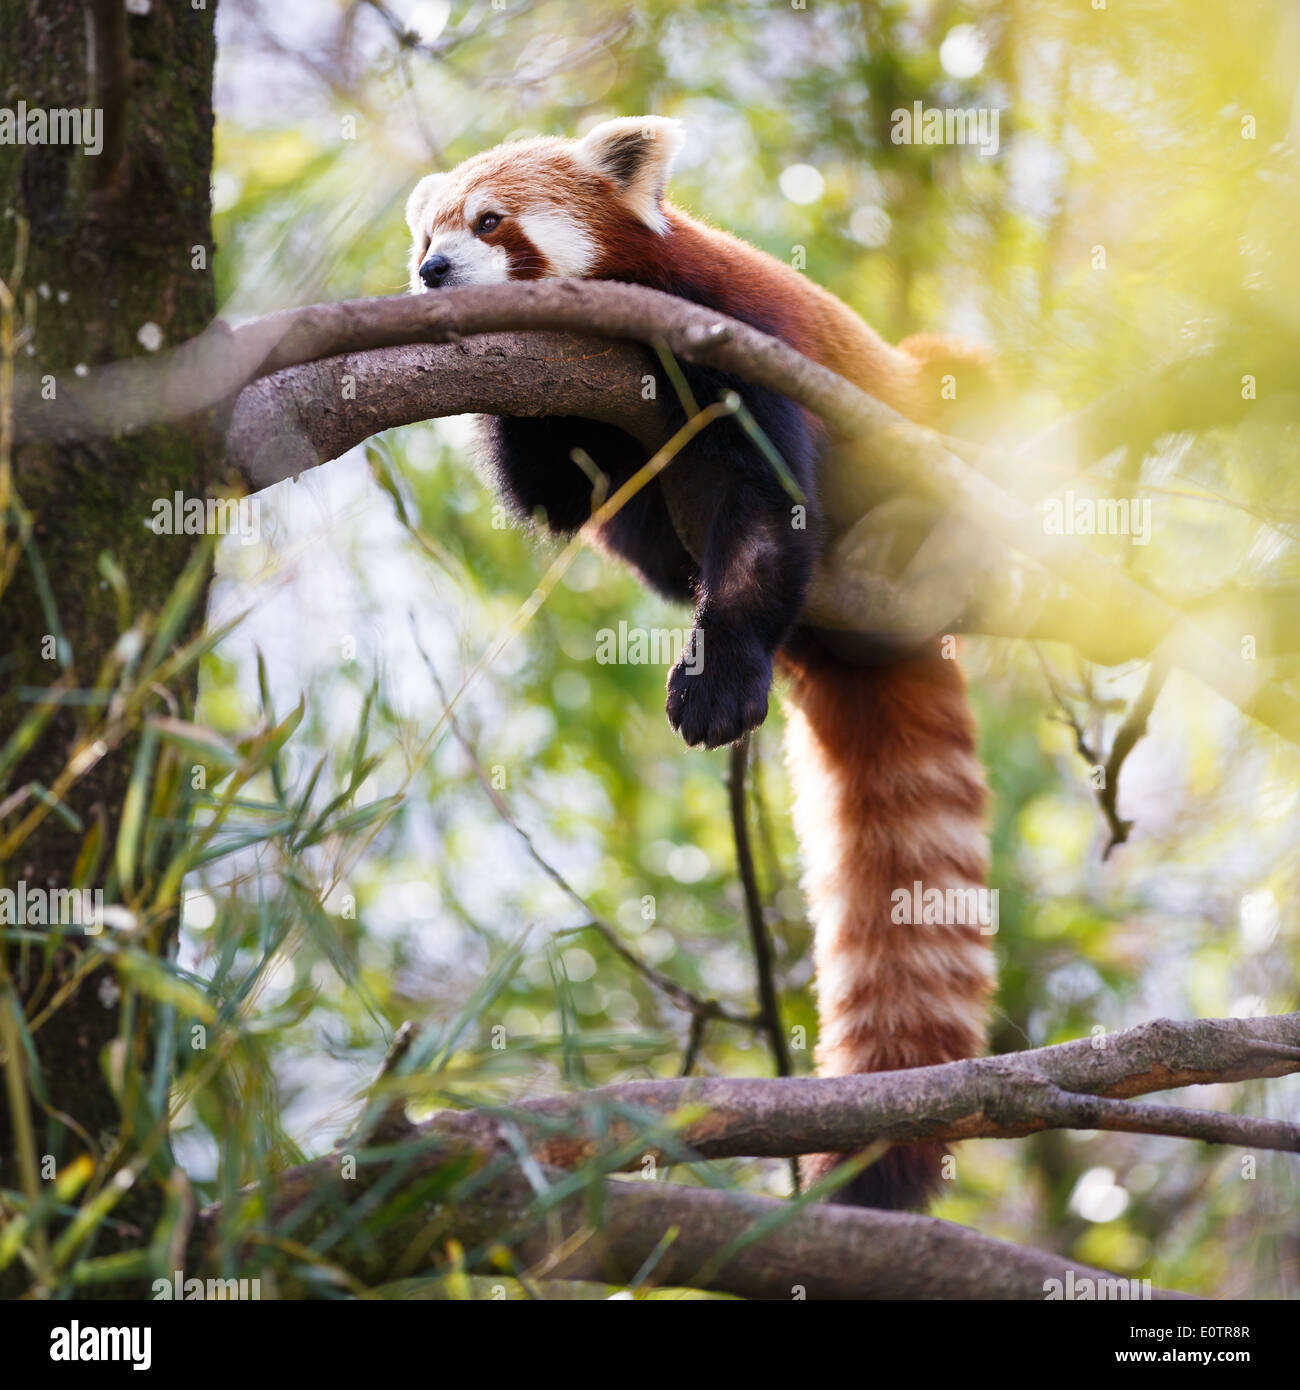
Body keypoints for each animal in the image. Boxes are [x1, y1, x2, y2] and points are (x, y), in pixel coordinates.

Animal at [405, 116, 995, 1206]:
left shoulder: (732, 344)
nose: (432, 271)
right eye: (426, 231)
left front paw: (717, 680)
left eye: (489, 221)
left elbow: (762, 510)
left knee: (953, 383)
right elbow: (557, 492)